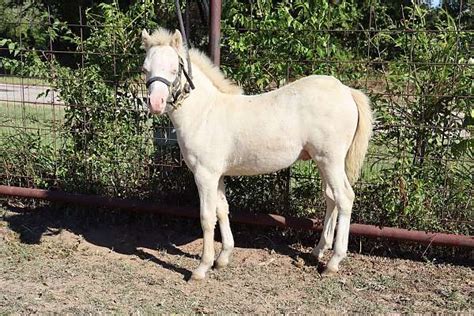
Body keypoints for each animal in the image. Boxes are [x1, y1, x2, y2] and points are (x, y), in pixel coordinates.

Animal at [142, 27, 374, 278]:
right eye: (145, 69)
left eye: (174, 69)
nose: (155, 103)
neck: (204, 113)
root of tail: (346, 91)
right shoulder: (218, 175)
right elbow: (222, 210)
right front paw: (223, 258)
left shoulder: (205, 175)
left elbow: (206, 217)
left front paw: (202, 267)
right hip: (322, 161)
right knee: (331, 198)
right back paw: (318, 251)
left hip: (330, 160)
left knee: (344, 198)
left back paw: (334, 261)